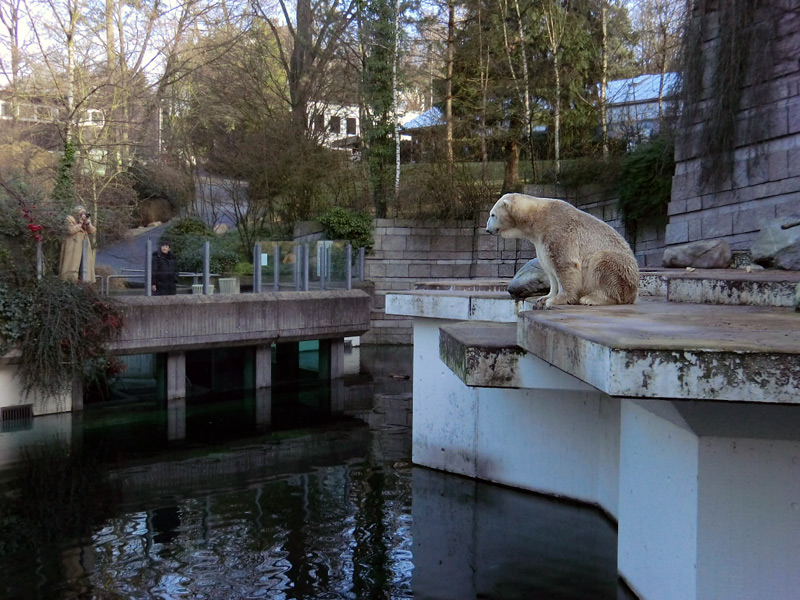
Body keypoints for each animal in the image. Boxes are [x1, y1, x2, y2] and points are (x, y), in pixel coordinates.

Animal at [484, 193, 640, 310]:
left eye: (492, 215)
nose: (487, 229)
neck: (538, 217)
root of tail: (633, 292)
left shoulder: (558, 231)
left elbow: (565, 264)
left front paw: (557, 300)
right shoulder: (540, 241)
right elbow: (549, 269)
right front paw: (545, 298)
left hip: (622, 271)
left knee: (603, 262)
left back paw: (591, 298)